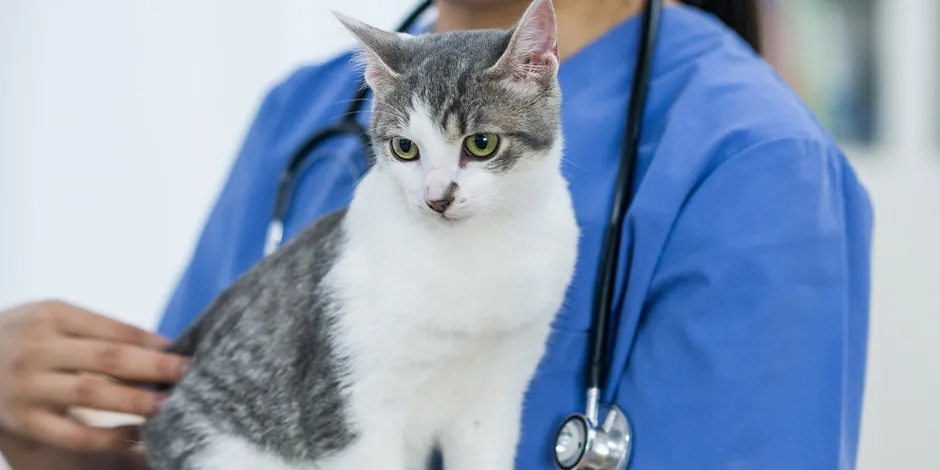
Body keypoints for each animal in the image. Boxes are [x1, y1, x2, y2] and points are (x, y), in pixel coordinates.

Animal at [140, 1, 580, 468]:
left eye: (481, 143)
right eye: (405, 148)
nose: (437, 198)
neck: (476, 250)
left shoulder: (494, 398)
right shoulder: (349, 403)